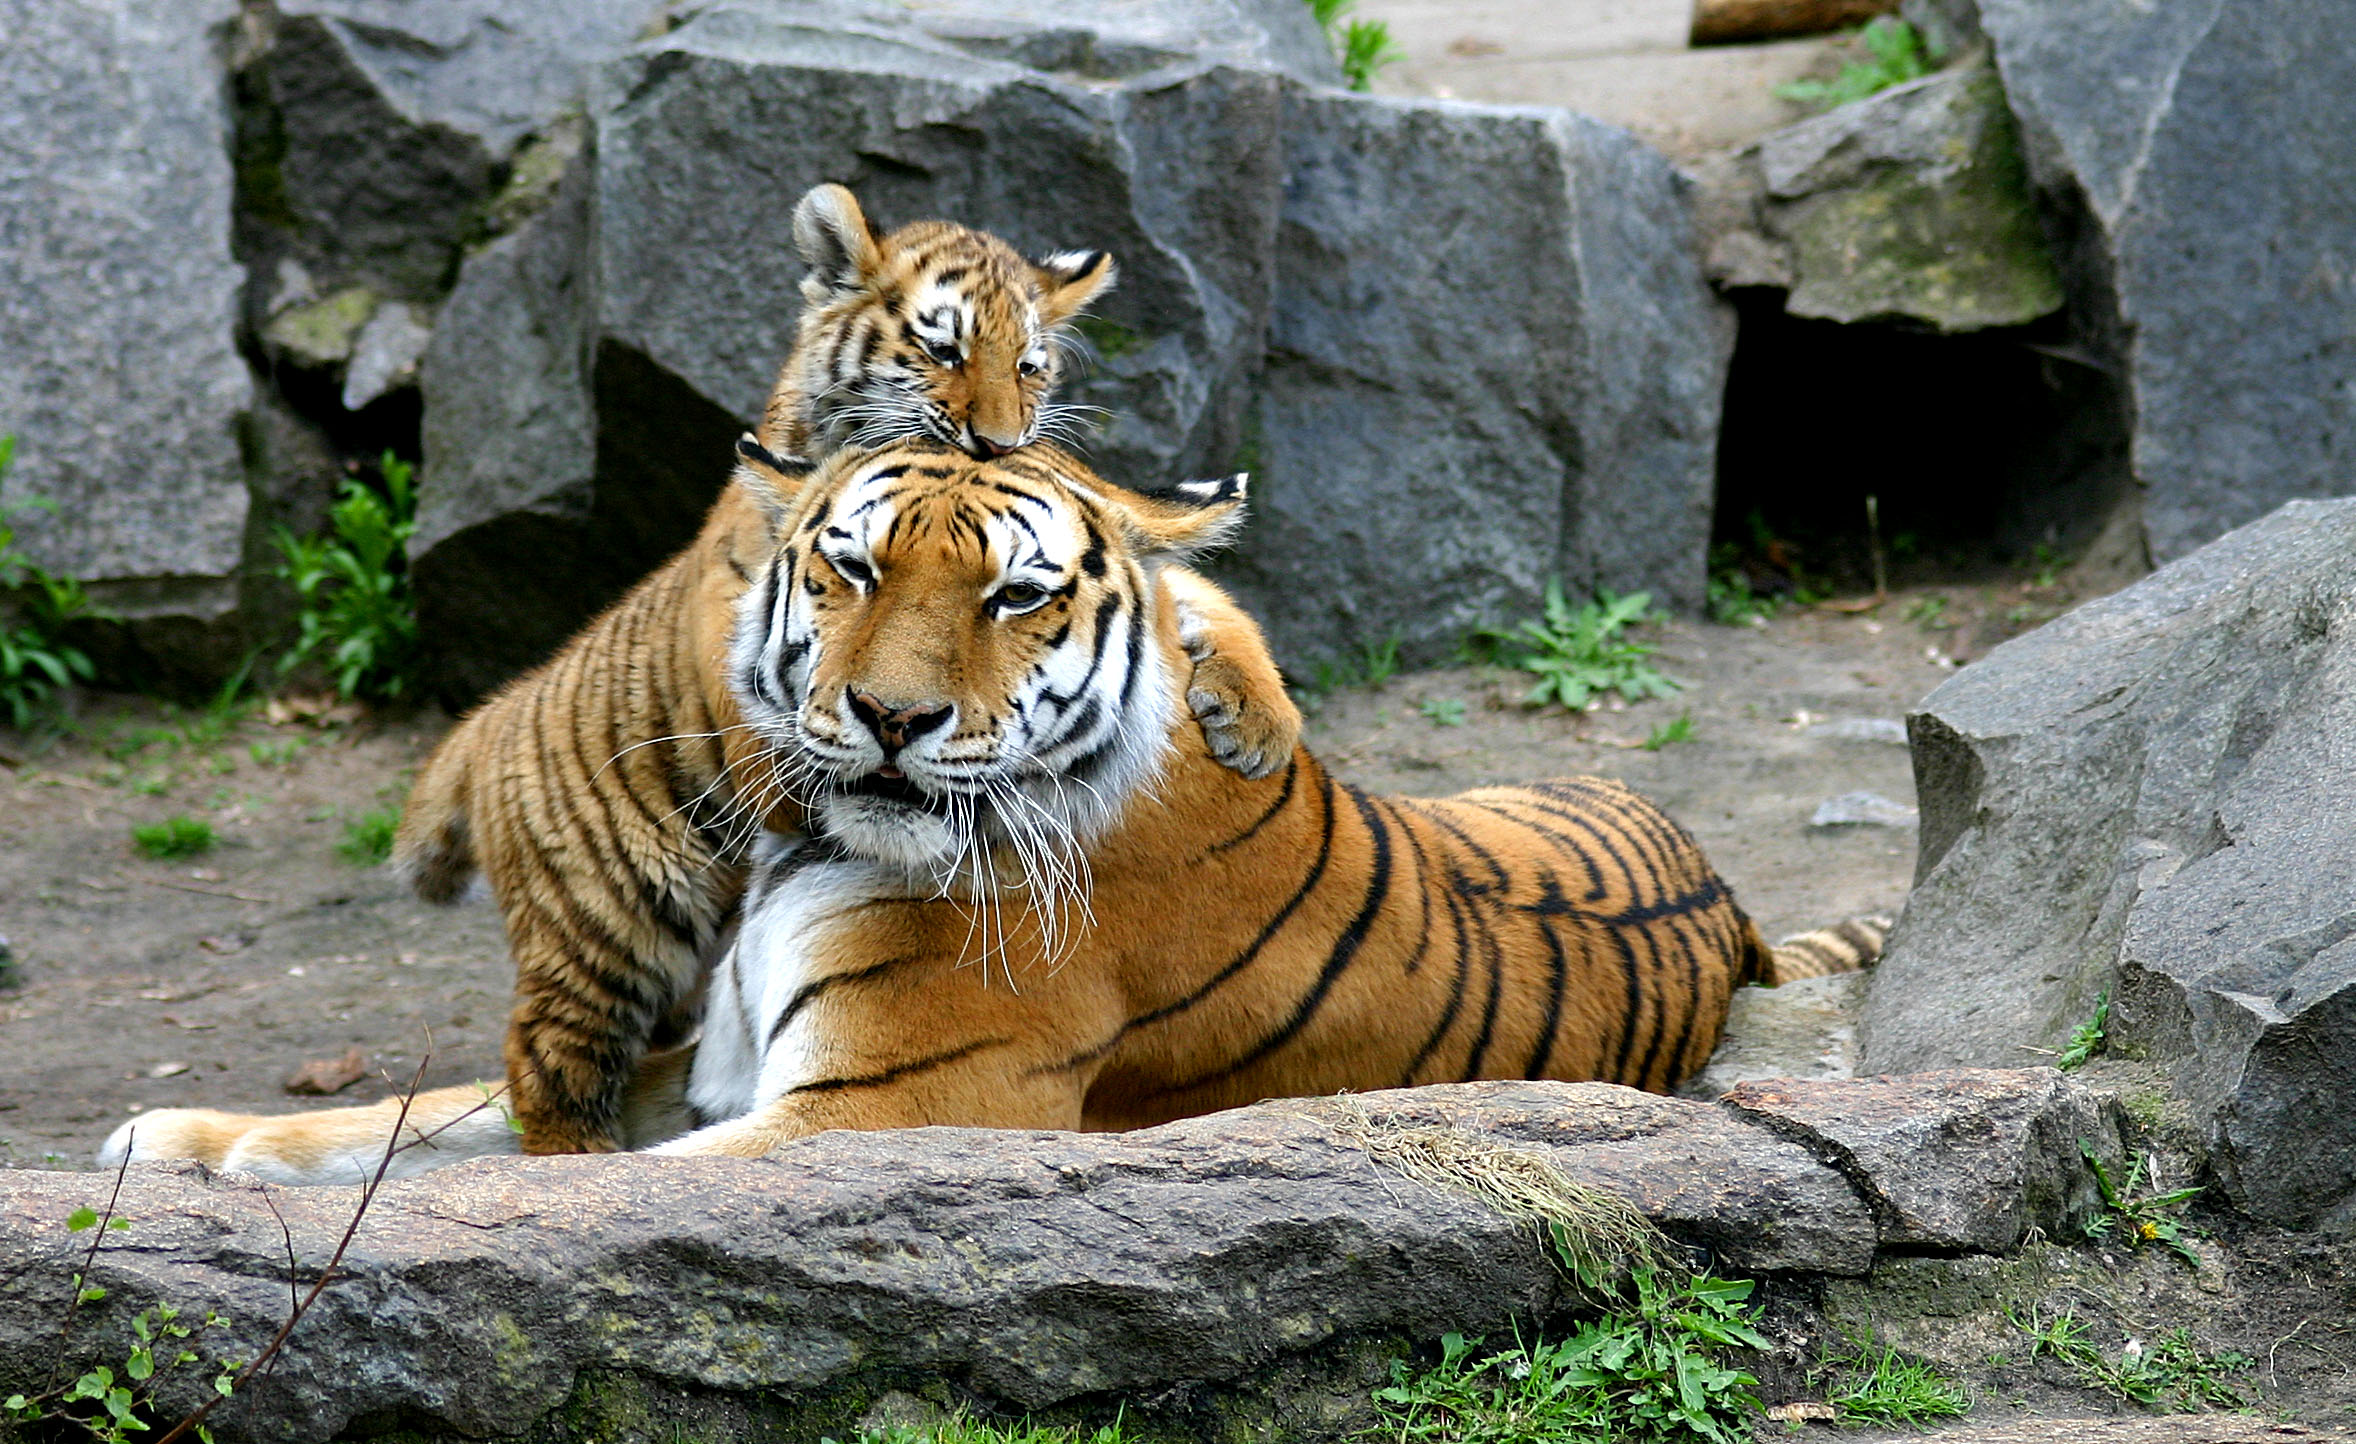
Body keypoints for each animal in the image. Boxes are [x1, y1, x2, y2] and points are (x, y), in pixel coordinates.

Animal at [110, 438, 1865, 1182]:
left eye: (1017, 595)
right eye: (851, 567)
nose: (890, 719)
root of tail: (1734, 910)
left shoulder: (871, 1112)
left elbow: (551, 1185)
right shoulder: (702, 1066)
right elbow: (414, 1117)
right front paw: (181, 1143)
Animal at [393, 186, 1300, 1154]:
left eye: (1029, 367)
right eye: (944, 351)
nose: (998, 441)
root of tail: (489, 719)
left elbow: (1196, 592)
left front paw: (1259, 721)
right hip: (606, 925)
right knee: (549, 1061)